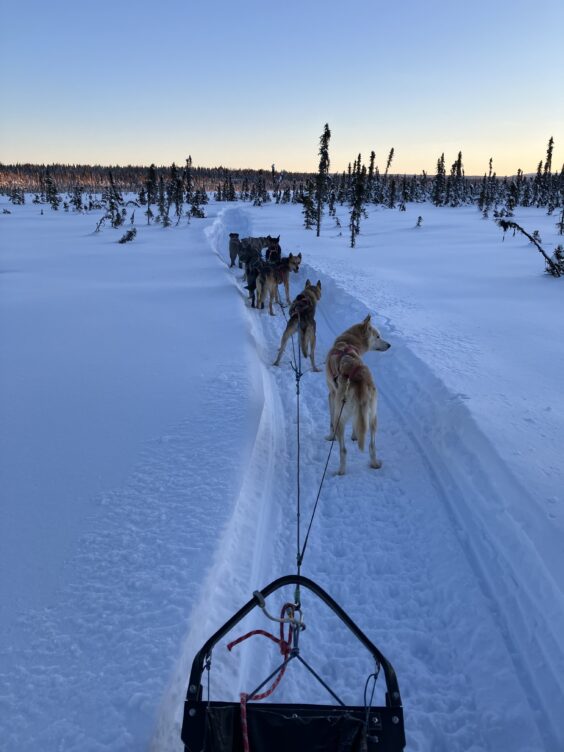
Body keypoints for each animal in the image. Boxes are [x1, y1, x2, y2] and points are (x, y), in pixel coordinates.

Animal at [324, 318, 390, 476]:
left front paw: (330, 437)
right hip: (373, 418)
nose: (389, 345)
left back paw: (341, 471)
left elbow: (330, 422)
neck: (348, 343)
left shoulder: (331, 395)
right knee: (372, 446)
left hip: (340, 417)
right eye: (378, 336)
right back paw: (374, 464)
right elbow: (357, 424)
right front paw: (355, 436)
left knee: (343, 450)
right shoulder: (360, 414)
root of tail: (360, 380)